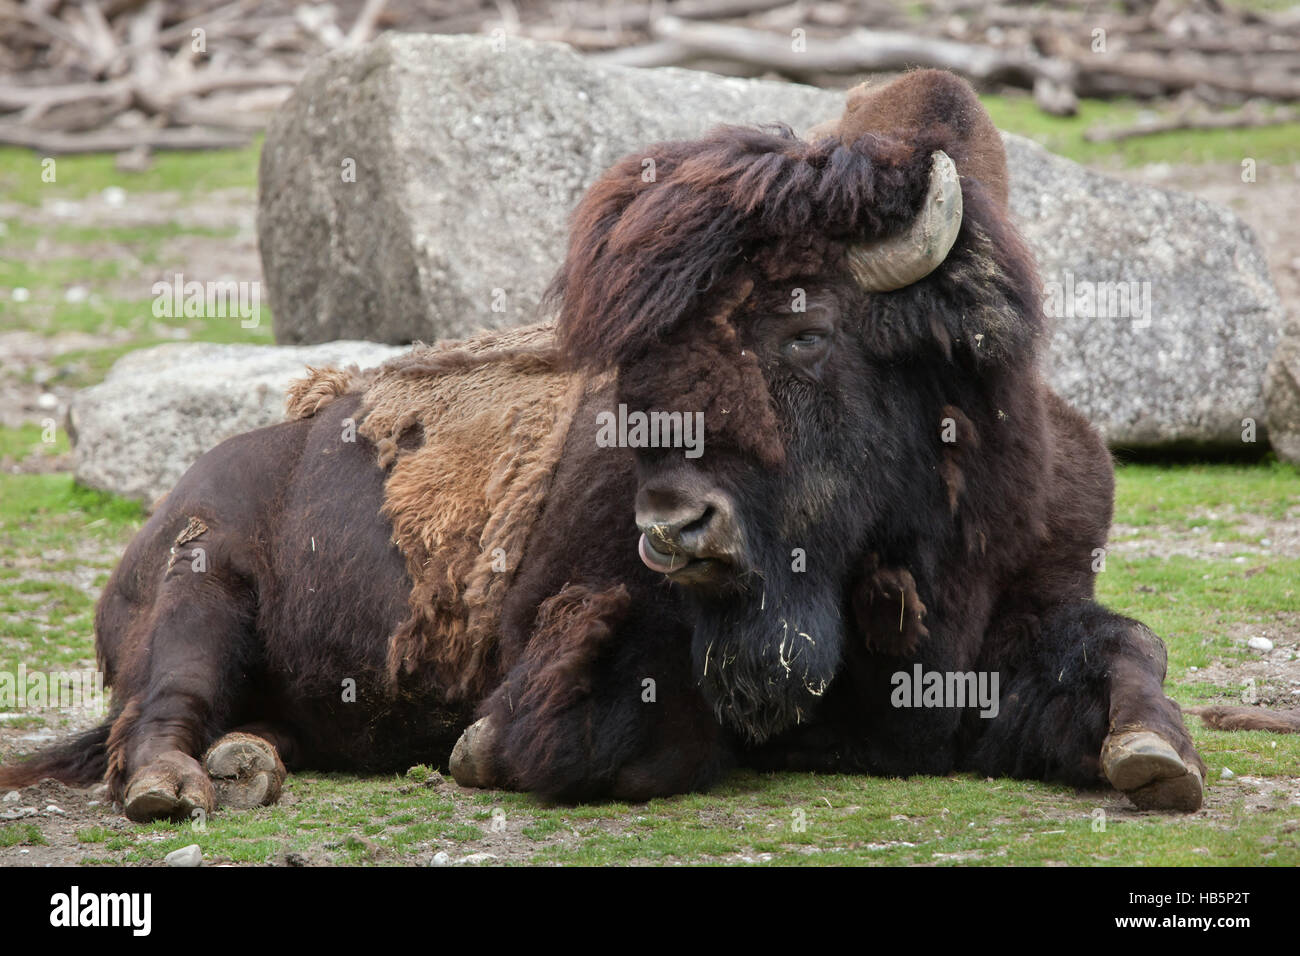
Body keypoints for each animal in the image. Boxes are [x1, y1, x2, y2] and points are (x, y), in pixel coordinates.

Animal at [6, 70, 1269, 821]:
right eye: (635, 360)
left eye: (805, 326)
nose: (674, 522)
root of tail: (167, 511)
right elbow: (588, 733)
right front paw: (478, 747)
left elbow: (1128, 647)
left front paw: (1155, 757)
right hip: (199, 595)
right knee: (156, 712)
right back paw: (183, 783)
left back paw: (248, 761)